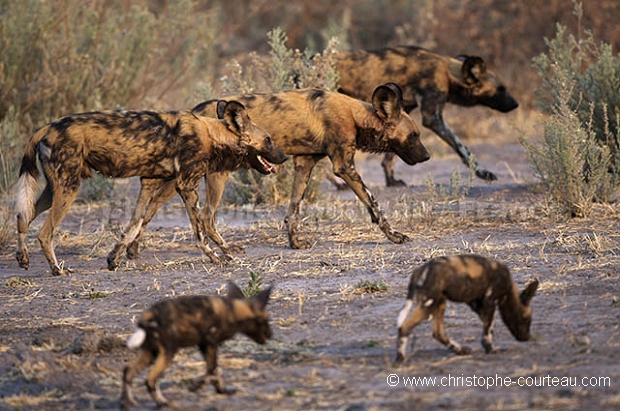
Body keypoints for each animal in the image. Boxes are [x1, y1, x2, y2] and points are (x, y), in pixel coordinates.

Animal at [13, 101, 286, 276]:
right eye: (269, 139)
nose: (284, 157)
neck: (212, 134)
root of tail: (49, 126)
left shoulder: (149, 182)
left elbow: (135, 224)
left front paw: (114, 258)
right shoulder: (186, 185)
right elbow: (200, 232)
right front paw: (215, 258)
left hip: (55, 189)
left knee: (23, 217)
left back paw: (23, 258)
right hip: (69, 189)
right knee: (45, 233)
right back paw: (57, 270)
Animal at [118, 82, 428, 253]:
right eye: (414, 135)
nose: (426, 156)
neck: (355, 115)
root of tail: (195, 111)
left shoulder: (304, 163)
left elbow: (293, 210)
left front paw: (294, 242)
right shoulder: (344, 166)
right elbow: (373, 204)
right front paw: (394, 235)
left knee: (151, 206)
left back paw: (131, 250)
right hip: (210, 175)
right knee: (201, 214)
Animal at [120, 284, 272, 411]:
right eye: (263, 321)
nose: (271, 334)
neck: (233, 311)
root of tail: (150, 314)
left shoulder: (206, 345)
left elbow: (215, 370)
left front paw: (222, 390)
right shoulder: (209, 343)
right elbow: (212, 371)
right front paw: (196, 386)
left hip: (150, 353)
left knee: (128, 371)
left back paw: (127, 403)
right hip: (168, 352)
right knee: (150, 380)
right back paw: (163, 403)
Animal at [334, 45, 520, 186]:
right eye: (501, 89)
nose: (515, 104)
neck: (447, 72)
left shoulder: (402, 114)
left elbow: (391, 157)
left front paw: (391, 180)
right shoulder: (434, 118)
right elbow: (462, 148)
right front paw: (483, 172)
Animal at [398, 256, 536, 366]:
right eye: (527, 320)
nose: (526, 338)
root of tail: (419, 270)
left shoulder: (477, 304)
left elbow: (488, 325)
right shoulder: (489, 301)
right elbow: (488, 330)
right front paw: (491, 349)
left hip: (439, 303)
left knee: (438, 333)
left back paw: (461, 350)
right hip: (429, 304)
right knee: (404, 327)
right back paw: (400, 360)